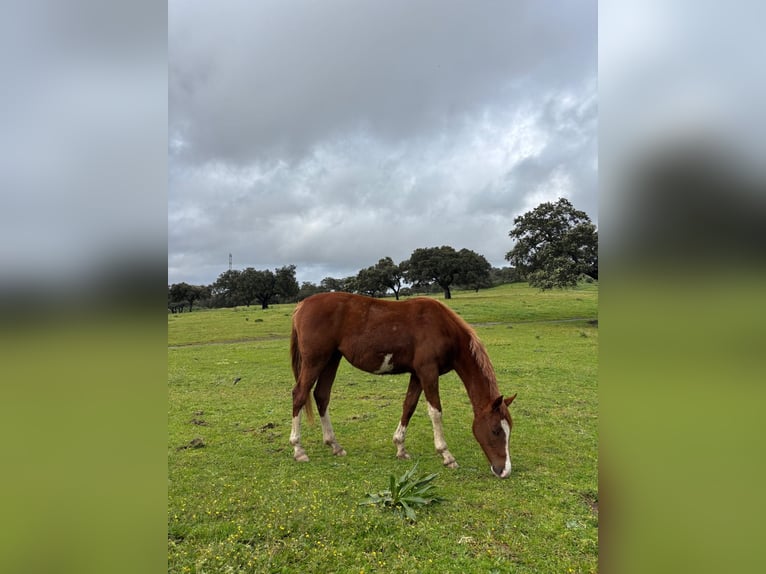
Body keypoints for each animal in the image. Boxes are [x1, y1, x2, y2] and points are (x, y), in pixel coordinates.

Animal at [289, 292, 517, 478]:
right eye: (496, 430)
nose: (504, 470)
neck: (442, 327)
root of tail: (302, 305)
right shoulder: (428, 372)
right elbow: (435, 411)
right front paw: (446, 455)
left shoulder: (417, 375)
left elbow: (409, 406)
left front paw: (400, 448)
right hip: (315, 360)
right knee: (299, 395)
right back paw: (298, 450)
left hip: (331, 359)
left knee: (321, 396)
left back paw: (334, 445)